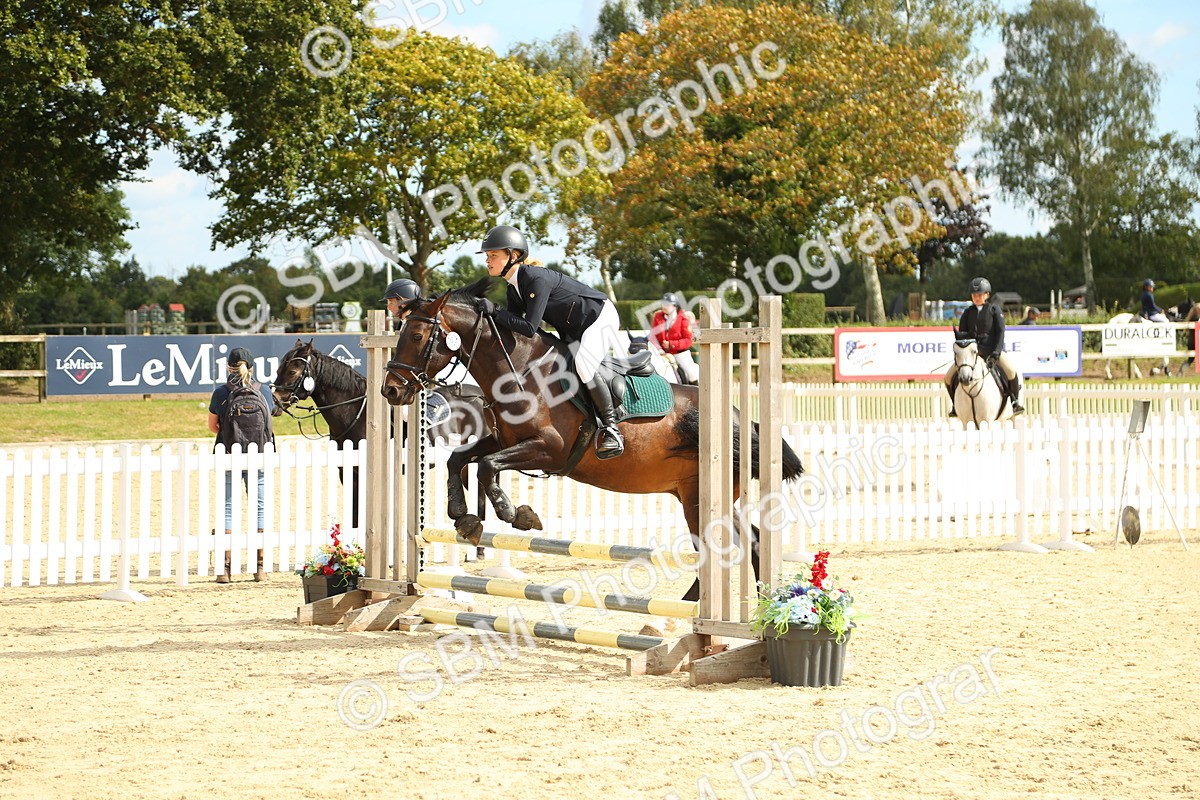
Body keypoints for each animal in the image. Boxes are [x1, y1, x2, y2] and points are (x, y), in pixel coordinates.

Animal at [379, 279, 805, 601]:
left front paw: (515, 514)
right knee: (747, 542)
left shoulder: (549, 450)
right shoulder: (503, 439)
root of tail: (740, 418)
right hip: (696, 496)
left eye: (417, 334)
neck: (520, 369)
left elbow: (485, 467)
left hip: (701, 498)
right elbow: (460, 459)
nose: (390, 391)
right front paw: (463, 516)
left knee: (725, 546)